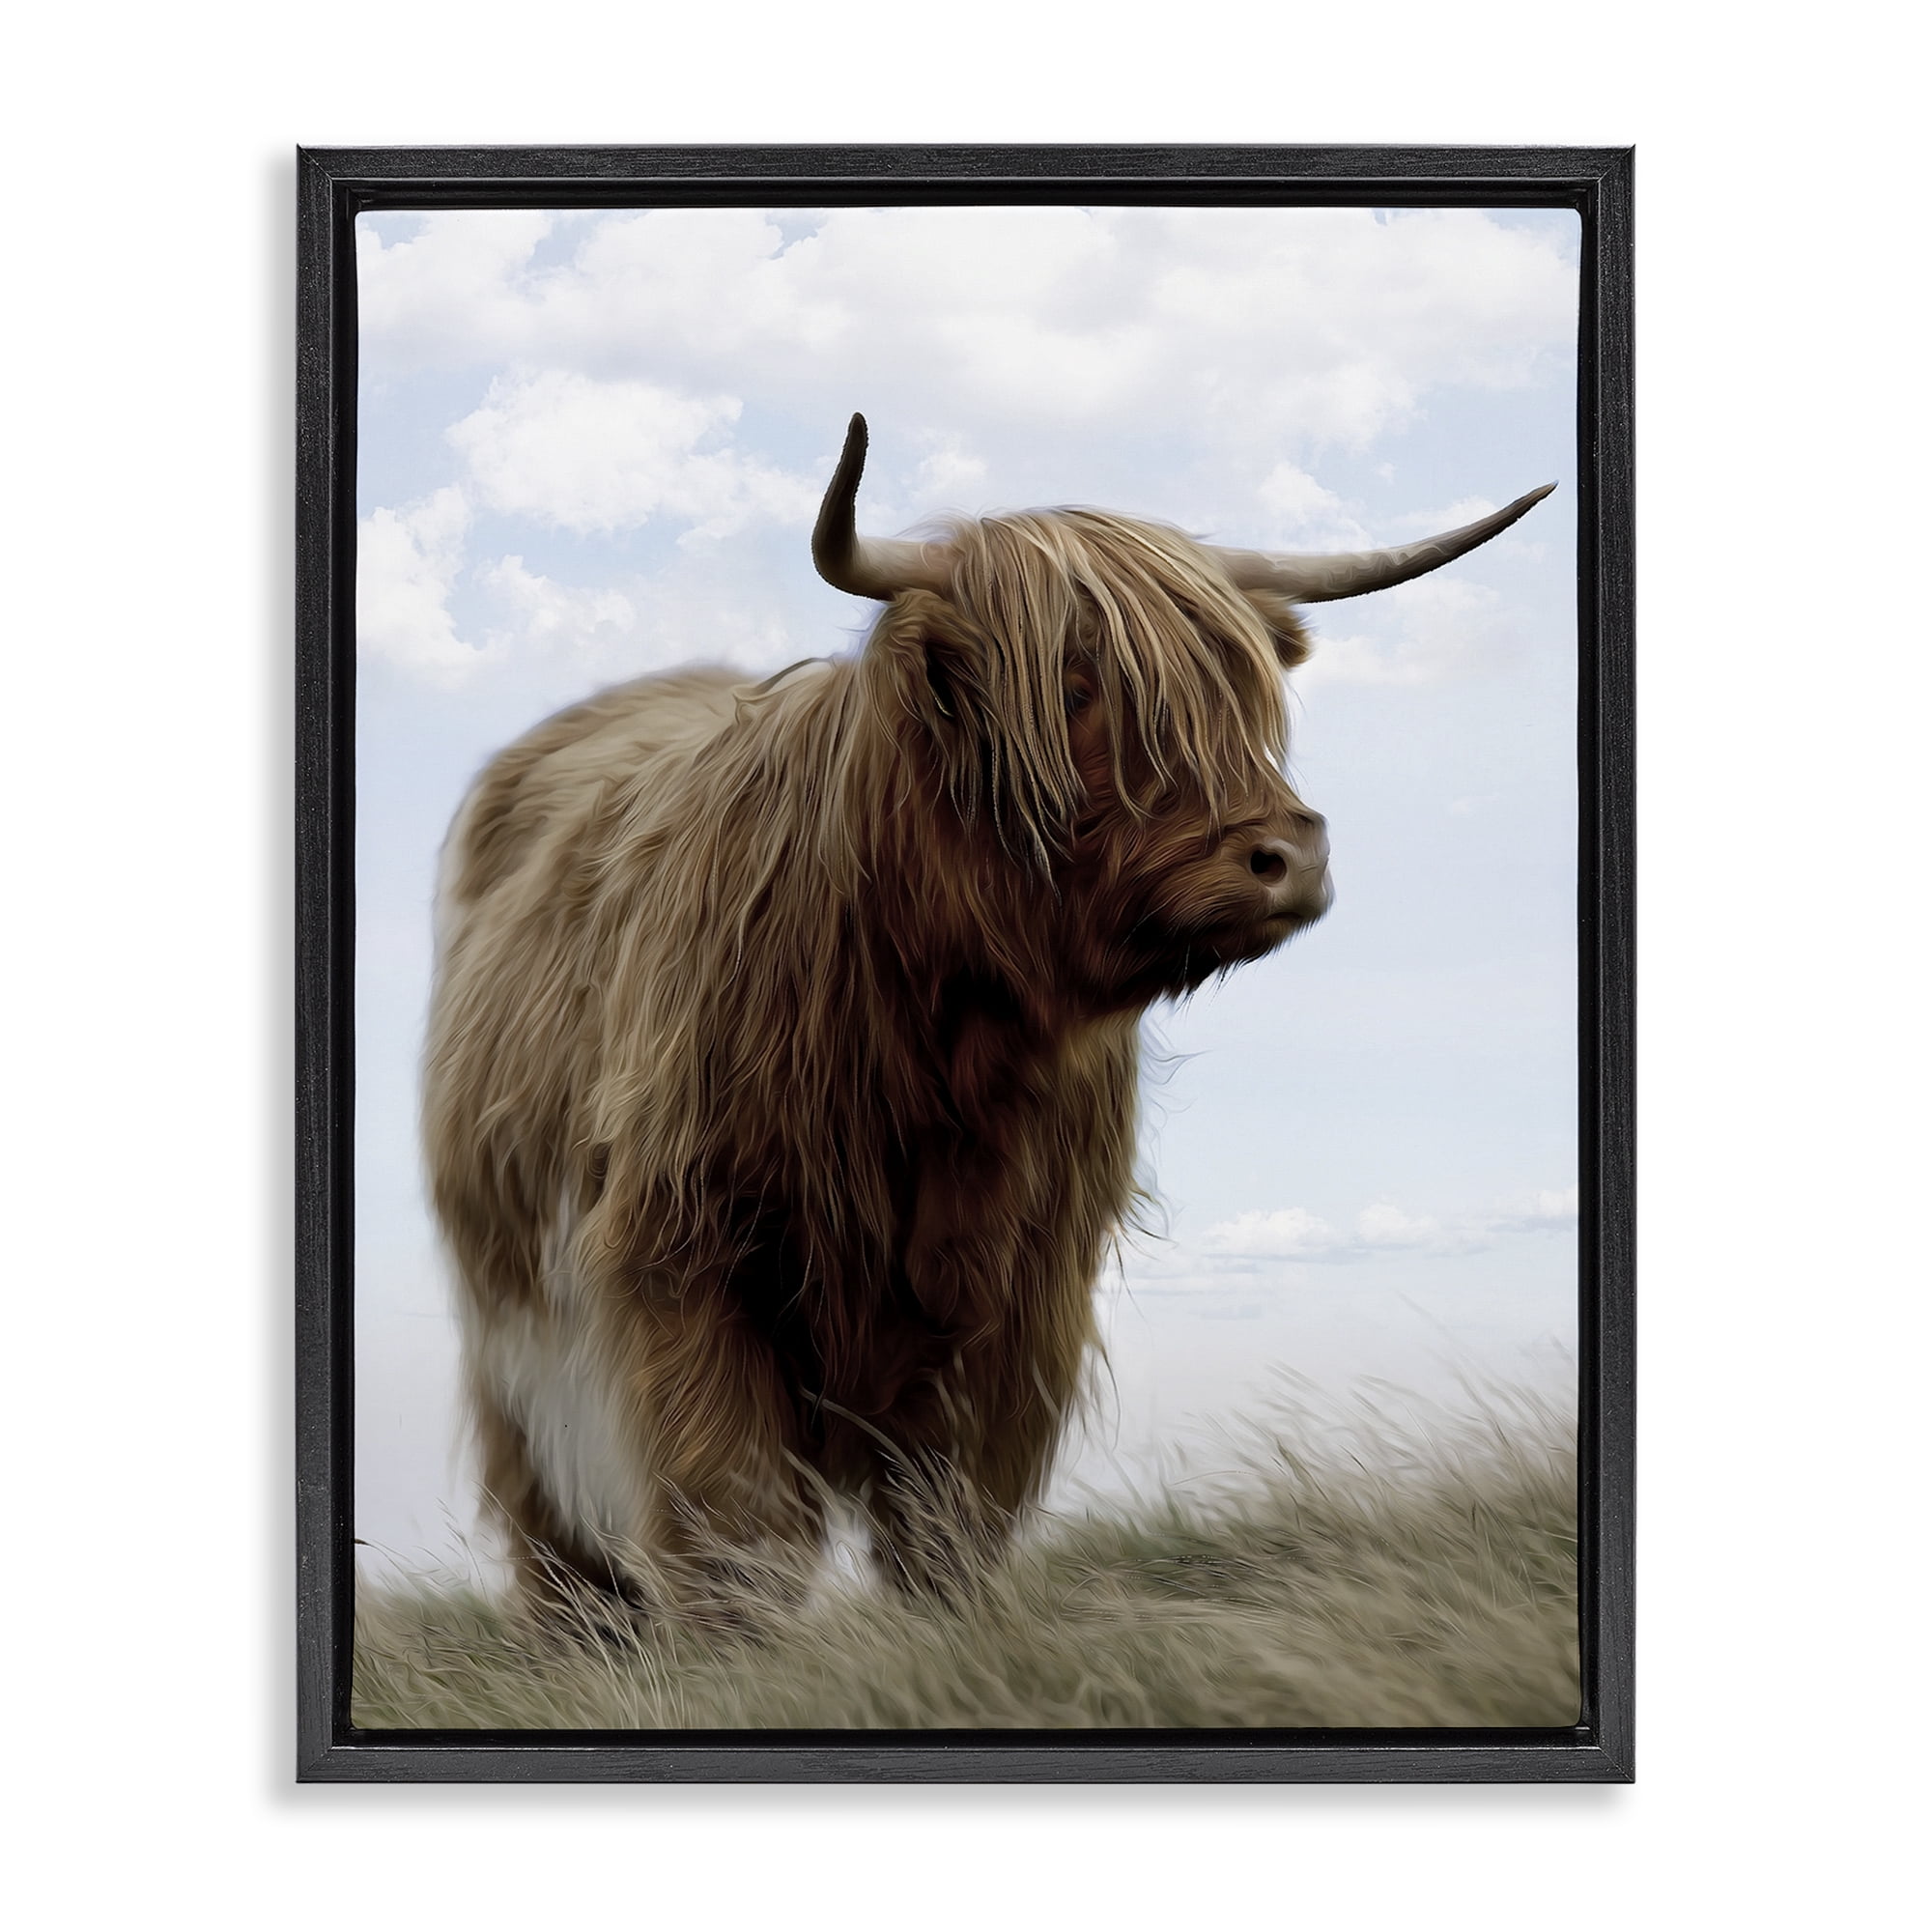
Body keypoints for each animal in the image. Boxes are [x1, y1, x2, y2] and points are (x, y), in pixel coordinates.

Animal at [422, 414, 1552, 1611]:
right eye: (1073, 683)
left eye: (1239, 693)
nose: (1287, 855)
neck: (939, 1039)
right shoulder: (683, 1250)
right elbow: (729, 1514)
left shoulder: (1021, 1291)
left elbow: (949, 1515)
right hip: (513, 1329)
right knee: (554, 1525)